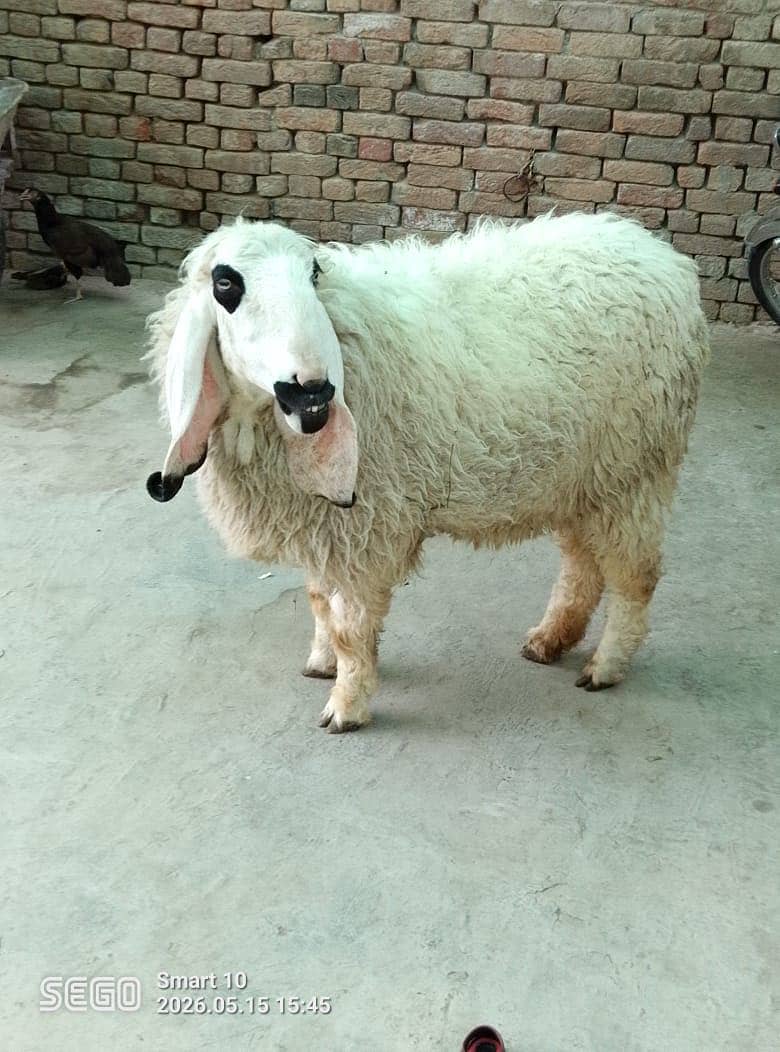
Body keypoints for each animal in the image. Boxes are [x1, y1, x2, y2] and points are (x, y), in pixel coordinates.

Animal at [146, 212, 710, 733]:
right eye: (226, 284)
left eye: (314, 274)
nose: (313, 392)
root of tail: (662, 257)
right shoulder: (324, 523)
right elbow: (319, 600)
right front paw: (324, 662)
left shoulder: (365, 526)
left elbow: (350, 624)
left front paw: (347, 703)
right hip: (582, 477)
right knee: (581, 564)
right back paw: (550, 639)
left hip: (633, 469)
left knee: (635, 575)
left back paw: (606, 666)